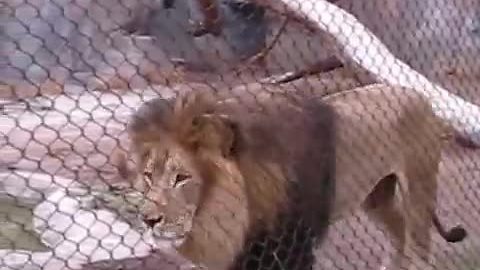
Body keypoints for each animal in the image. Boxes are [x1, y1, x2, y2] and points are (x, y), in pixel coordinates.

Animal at [118, 83, 466, 268]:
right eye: (148, 175)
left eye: (181, 178)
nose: (149, 220)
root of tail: (417, 93)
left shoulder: (291, 247)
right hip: (377, 198)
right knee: (399, 234)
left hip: (420, 186)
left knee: (419, 247)